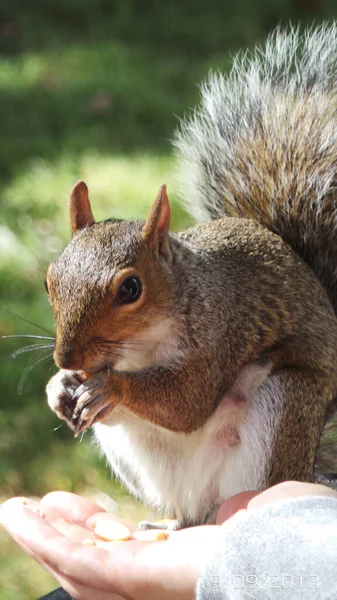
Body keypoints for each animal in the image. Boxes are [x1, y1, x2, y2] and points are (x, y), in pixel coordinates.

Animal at [46, 25, 336, 528]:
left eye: (131, 288)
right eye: (49, 280)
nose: (67, 358)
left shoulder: (220, 333)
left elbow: (188, 403)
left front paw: (114, 387)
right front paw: (59, 387)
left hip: (284, 404)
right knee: (185, 513)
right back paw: (170, 523)